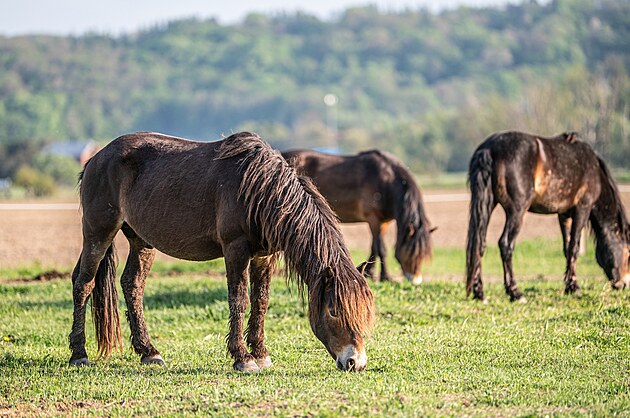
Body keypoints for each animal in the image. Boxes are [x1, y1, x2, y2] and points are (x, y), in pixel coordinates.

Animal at [68, 132, 375, 372]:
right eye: (333, 310)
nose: (355, 362)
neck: (259, 190)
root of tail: (95, 159)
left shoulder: (265, 256)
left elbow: (261, 302)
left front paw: (261, 354)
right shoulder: (235, 249)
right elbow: (239, 300)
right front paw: (243, 358)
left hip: (141, 240)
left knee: (132, 285)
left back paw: (149, 352)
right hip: (99, 231)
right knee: (84, 283)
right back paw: (79, 355)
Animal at [282, 149, 433, 285]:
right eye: (411, 252)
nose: (415, 280)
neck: (387, 182)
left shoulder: (384, 222)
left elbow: (374, 248)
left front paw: (369, 273)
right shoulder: (373, 219)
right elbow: (381, 249)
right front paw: (385, 277)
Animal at [466, 130, 630, 302]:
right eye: (628, 253)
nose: (624, 283)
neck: (594, 169)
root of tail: (489, 149)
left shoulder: (564, 214)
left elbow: (567, 247)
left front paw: (569, 285)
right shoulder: (582, 209)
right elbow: (574, 248)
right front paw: (574, 287)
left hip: (488, 204)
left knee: (480, 244)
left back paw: (479, 293)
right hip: (516, 211)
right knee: (505, 244)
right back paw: (515, 292)